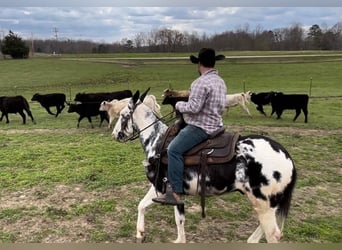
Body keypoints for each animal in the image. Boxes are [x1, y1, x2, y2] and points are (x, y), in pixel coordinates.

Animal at [112, 89, 296, 242]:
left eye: (123, 115)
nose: (115, 135)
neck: (157, 143)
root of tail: (287, 158)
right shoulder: (164, 189)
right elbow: (142, 206)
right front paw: (140, 233)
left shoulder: (166, 189)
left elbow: (177, 220)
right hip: (269, 205)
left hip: (263, 204)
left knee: (272, 233)